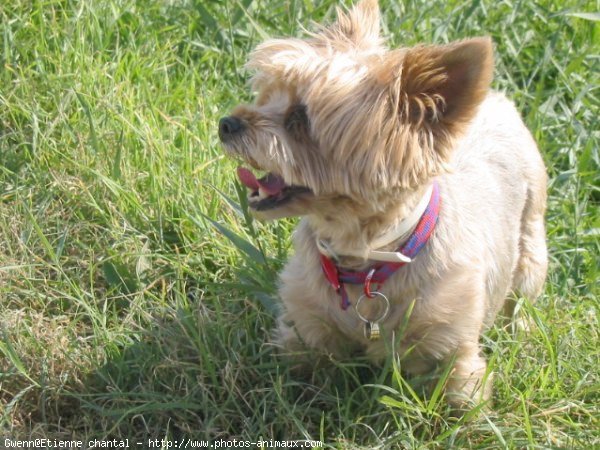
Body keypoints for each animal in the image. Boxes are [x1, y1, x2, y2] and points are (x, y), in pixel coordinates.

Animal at [218, 0, 548, 410]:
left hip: (532, 246)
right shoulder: (306, 329)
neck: (365, 257)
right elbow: (303, 368)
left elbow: (459, 401)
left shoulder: (452, 353)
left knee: (521, 296)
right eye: (265, 96)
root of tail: (497, 99)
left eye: (300, 119)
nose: (226, 123)